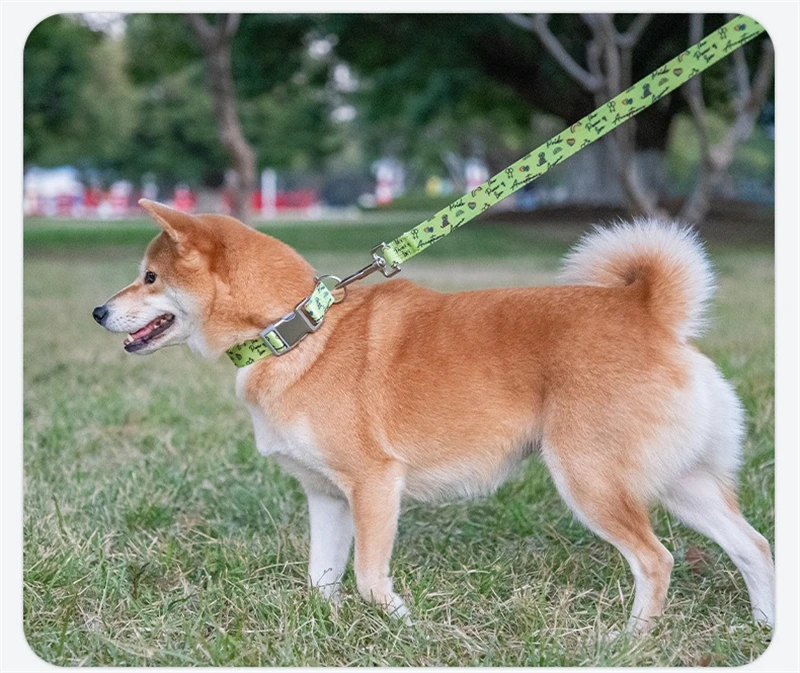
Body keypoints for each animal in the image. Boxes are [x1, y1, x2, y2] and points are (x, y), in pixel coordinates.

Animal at [93, 199, 775, 633]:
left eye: (148, 277)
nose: (98, 311)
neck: (296, 332)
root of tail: (649, 313)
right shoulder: (328, 496)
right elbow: (322, 578)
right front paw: (326, 627)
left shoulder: (374, 485)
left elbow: (369, 578)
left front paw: (406, 626)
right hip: (682, 484)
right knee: (755, 546)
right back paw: (765, 626)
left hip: (592, 481)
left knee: (656, 560)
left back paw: (628, 641)